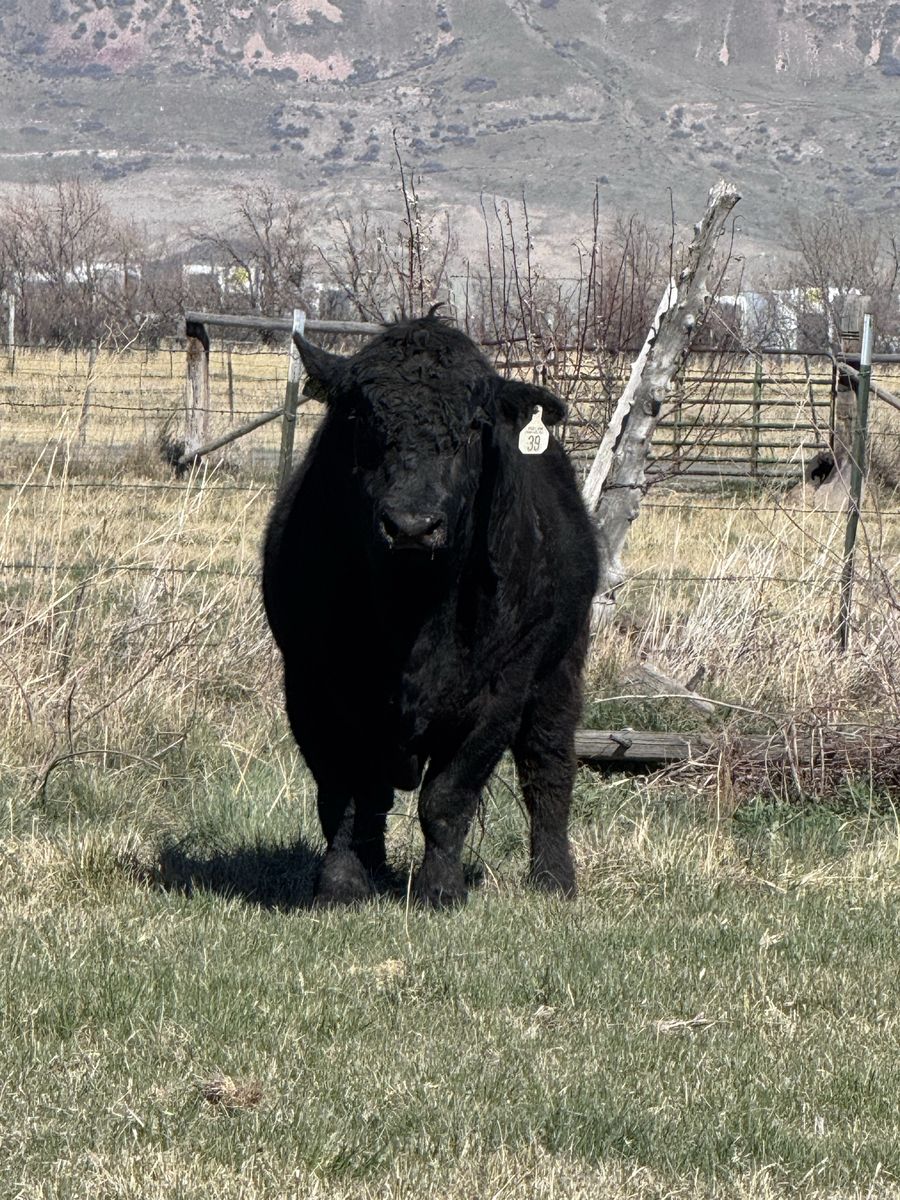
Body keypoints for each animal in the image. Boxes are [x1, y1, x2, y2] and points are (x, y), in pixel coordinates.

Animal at [262, 313, 599, 908]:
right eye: (363, 419)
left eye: (472, 427)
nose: (412, 526)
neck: (411, 612)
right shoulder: (310, 685)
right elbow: (342, 795)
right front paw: (342, 885)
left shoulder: (501, 690)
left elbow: (447, 797)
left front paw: (441, 890)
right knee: (373, 796)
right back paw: (375, 871)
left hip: (560, 668)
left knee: (548, 769)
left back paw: (554, 881)